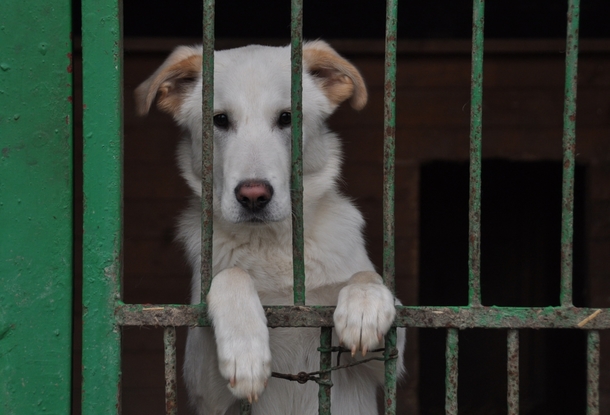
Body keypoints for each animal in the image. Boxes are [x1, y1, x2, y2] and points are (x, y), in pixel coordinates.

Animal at [135, 41, 406, 415]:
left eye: (287, 118)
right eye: (220, 120)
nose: (253, 196)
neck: (271, 246)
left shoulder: (388, 360)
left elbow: (367, 277)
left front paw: (364, 305)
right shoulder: (205, 389)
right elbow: (231, 274)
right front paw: (246, 350)